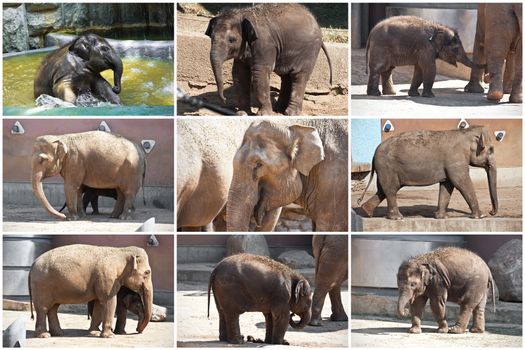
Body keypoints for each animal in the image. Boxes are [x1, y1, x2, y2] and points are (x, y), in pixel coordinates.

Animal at [358, 126, 498, 220]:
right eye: (491, 149)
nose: (491, 212)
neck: (465, 133)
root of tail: (374, 153)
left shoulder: (451, 164)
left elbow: (447, 185)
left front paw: (442, 217)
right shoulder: (455, 161)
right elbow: (461, 182)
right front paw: (481, 216)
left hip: (385, 169)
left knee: (383, 190)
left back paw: (367, 211)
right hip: (387, 167)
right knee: (391, 190)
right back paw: (398, 218)